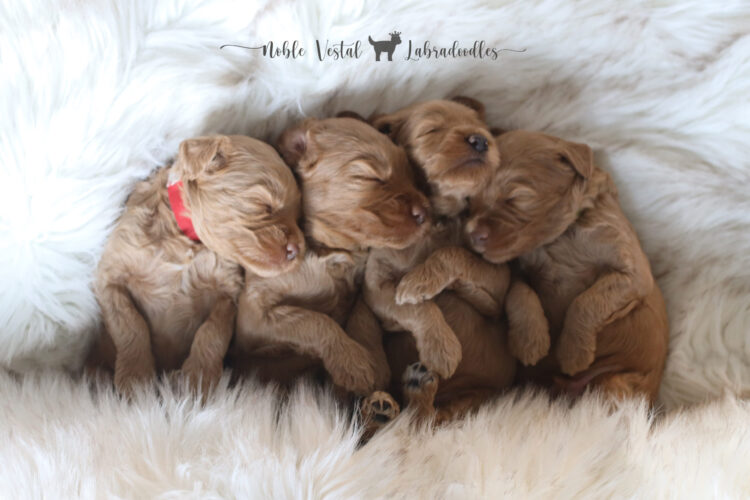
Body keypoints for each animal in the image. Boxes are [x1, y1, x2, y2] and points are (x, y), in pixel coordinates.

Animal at [89, 135, 303, 396]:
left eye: (298, 217)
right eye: (264, 205)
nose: (298, 250)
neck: (186, 237)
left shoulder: (227, 294)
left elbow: (212, 331)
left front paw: (198, 381)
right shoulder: (110, 277)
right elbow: (131, 324)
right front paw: (135, 380)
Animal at [231, 116, 430, 397]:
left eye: (411, 176)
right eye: (370, 176)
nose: (427, 211)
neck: (331, 252)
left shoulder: (354, 295)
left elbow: (358, 318)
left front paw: (374, 367)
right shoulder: (254, 315)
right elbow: (311, 318)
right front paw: (355, 364)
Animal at [360, 98, 549, 430]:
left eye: (482, 128)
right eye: (431, 130)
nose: (480, 140)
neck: (437, 218)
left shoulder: (494, 286)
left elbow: (452, 254)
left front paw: (418, 281)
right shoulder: (376, 289)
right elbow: (412, 307)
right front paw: (442, 347)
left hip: (471, 402)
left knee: (427, 419)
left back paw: (415, 392)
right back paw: (384, 405)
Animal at [465, 130, 669, 403]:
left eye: (516, 198)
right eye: (469, 201)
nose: (472, 234)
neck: (558, 238)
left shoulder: (633, 271)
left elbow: (587, 301)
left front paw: (573, 354)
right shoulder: (516, 269)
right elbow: (519, 292)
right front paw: (530, 342)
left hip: (616, 383)